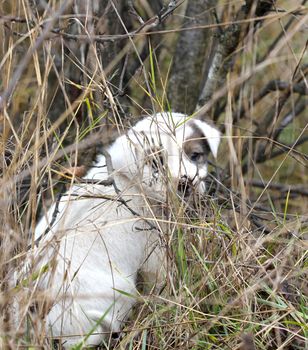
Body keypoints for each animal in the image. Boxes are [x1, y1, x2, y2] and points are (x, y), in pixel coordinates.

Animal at [18, 112, 220, 348]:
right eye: (157, 162)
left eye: (195, 155)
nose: (186, 184)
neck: (135, 182)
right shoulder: (155, 255)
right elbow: (161, 286)